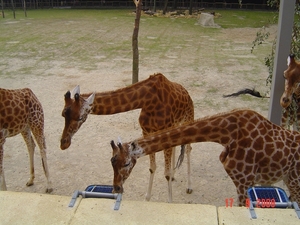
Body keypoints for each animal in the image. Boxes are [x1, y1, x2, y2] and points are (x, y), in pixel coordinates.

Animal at [59, 73, 193, 202]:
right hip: (176, 124)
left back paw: (189, 187)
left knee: (188, 149)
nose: (63, 143)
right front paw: (147, 198)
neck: (148, 100)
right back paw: (175, 175)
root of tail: (187, 93)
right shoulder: (146, 132)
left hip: (188, 118)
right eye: (63, 114)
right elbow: (152, 168)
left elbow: (166, 173)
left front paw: (170, 201)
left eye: (80, 118)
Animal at [110, 108, 300, 206]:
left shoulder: (244, 181)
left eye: (126, 163)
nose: (116, 188)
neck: (227, 135)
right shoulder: (243, 182)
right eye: (111, 162)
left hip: (294, 181)